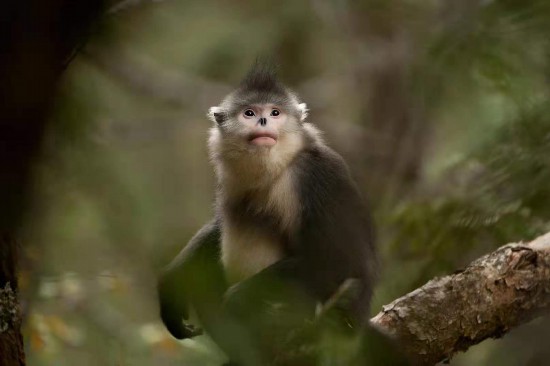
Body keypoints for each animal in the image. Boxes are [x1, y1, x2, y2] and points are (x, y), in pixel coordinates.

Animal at [157, 63, 386, 366]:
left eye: (275, 113)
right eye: (249, 113)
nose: (264, 121)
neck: (277, 168)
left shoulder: (313, 176)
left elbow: (342, 262)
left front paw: (239, 298)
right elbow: (217, 228)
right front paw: (171, 280)